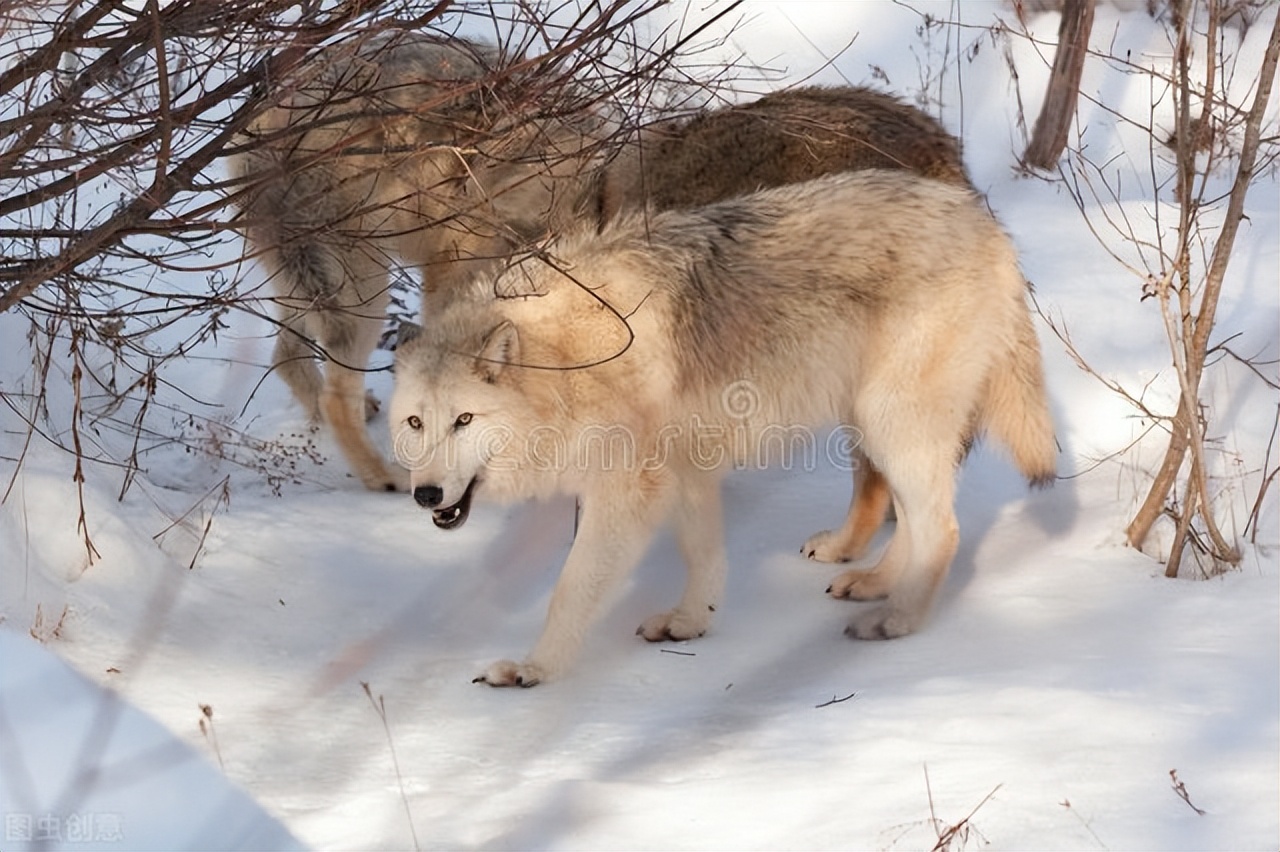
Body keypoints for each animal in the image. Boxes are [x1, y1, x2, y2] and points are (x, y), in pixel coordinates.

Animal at [391, 167, 1059, 685]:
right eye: (417, 422)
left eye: (464, 420)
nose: (425, 494)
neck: (565, 360)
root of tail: (984, 221)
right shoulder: (685, 468)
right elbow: (703, 556)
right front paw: (691, 622)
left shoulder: (629, 490)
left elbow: (571, 588)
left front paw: (534, 670)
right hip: (876, 424)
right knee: (913, 518)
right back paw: (870, 581)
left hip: (891, 421)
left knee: (942, 529)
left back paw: (894, 621)